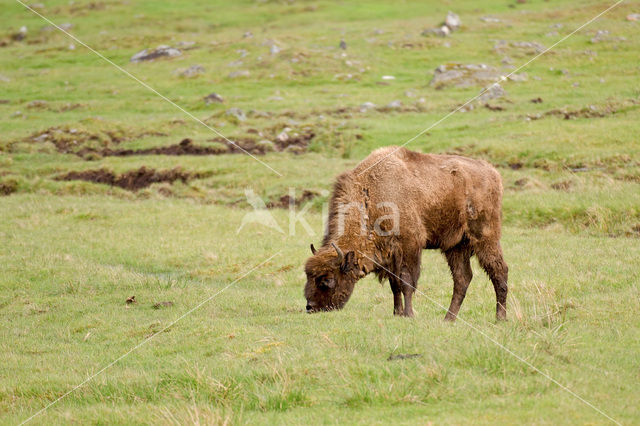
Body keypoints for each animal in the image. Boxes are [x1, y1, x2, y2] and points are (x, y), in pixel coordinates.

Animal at [304, 146, 510, 320]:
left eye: (327, 280)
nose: (310, 307)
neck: (372, 196)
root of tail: (493, 173)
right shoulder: (390, 256)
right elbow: (394, 285)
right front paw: (397, 313)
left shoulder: (409, 247)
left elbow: (406, 283)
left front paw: (409, 315)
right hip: (456, 247)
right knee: (462, 279)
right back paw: (448, 319)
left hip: (485, 238)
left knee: (499, 271)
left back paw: (500, 318)